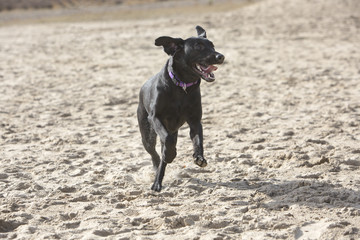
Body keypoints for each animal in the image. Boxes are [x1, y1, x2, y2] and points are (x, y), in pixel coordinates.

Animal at [136, 26, 224, 191]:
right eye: (198, 47)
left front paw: (199, 157)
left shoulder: (195, 121)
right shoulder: (156, 117)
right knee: (155, 153)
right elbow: (168, 141)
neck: (182, 86)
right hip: (147, 133)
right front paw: (170, 154)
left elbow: (198, 140)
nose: (220, 56)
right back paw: (157, 179)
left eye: (212, 45)